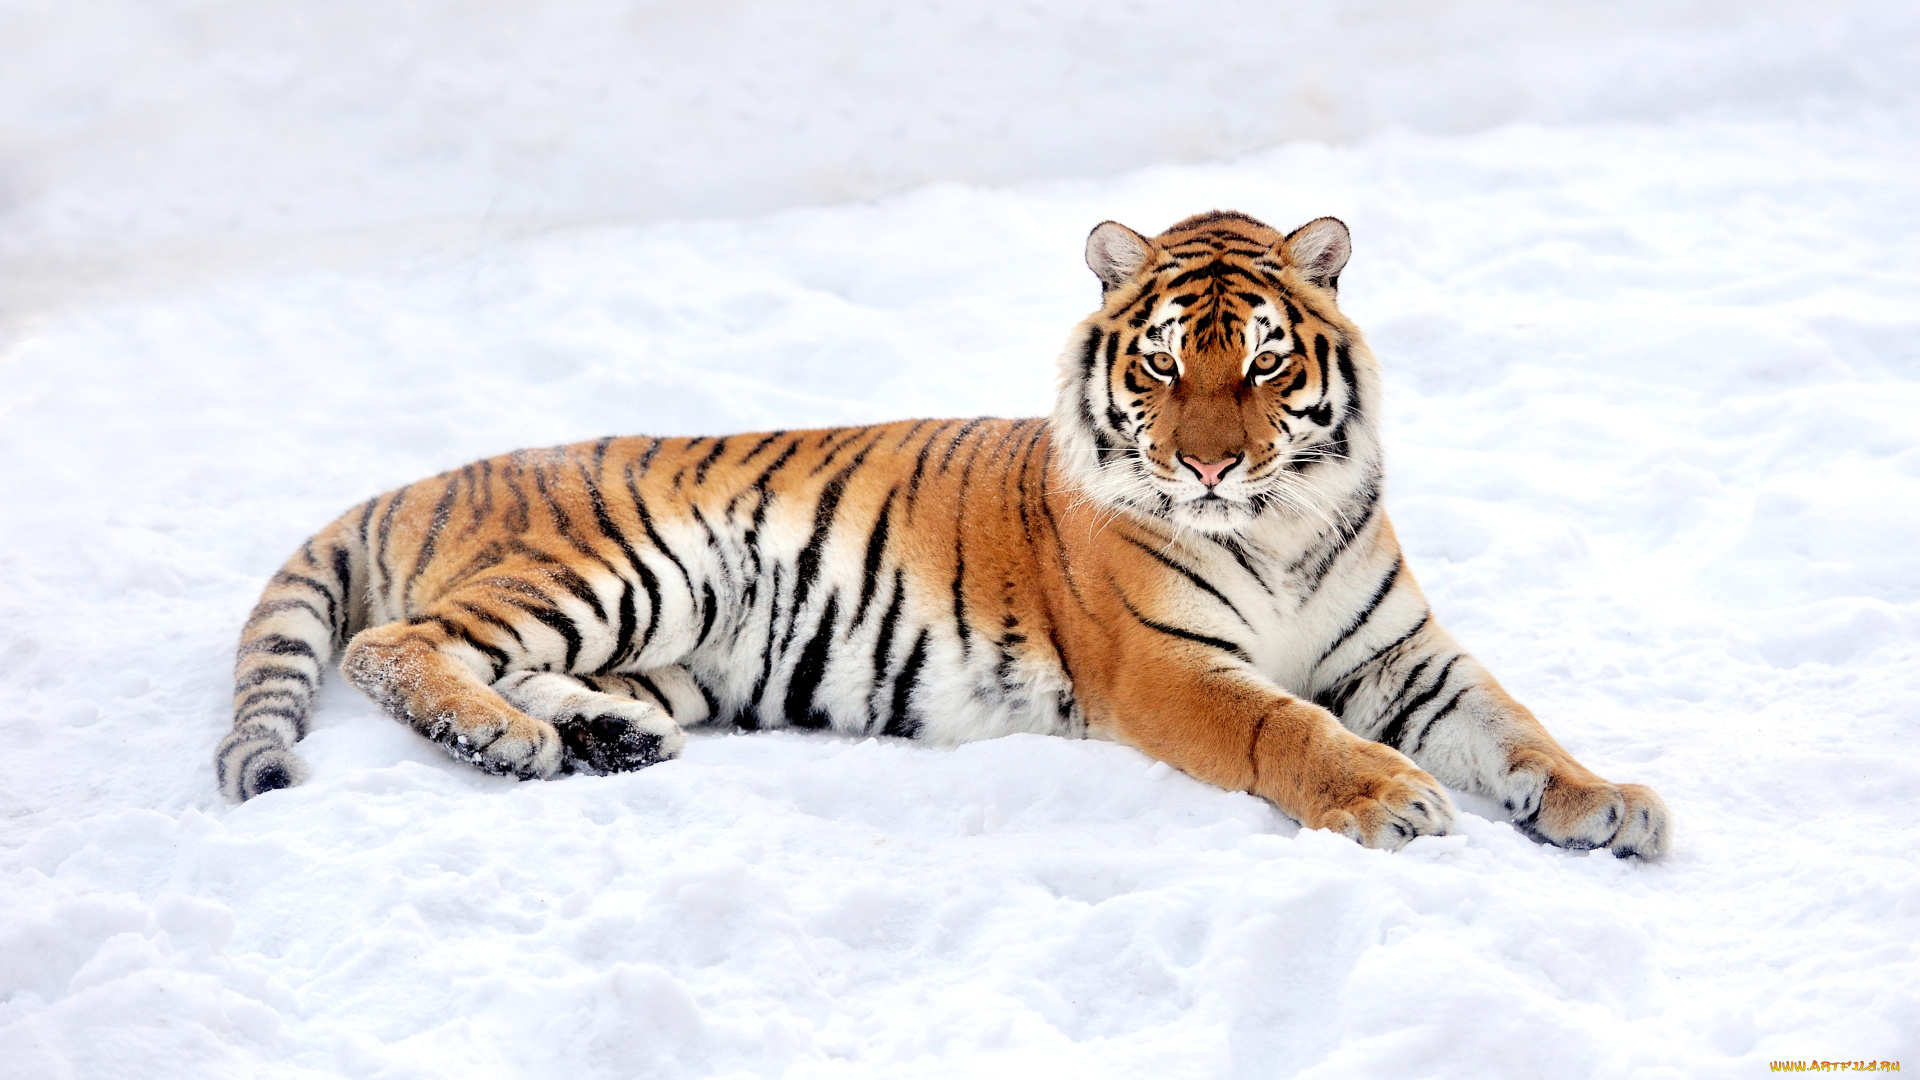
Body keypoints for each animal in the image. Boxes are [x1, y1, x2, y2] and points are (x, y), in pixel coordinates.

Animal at [217, 209, 1670, 857]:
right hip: (621, 566)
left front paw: (1606, 804)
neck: (1283, 521)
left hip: (663, 649)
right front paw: (1391, 799)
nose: (1206, 462)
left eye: (1261, 364)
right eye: (1160, 366)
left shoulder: (1403, 654)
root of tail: (429, 477)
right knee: (401, 650)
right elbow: (1289, 730)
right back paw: (512, 743)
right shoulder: (1168, 665)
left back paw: (603, 740)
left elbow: (1515, 727)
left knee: (516, 671)